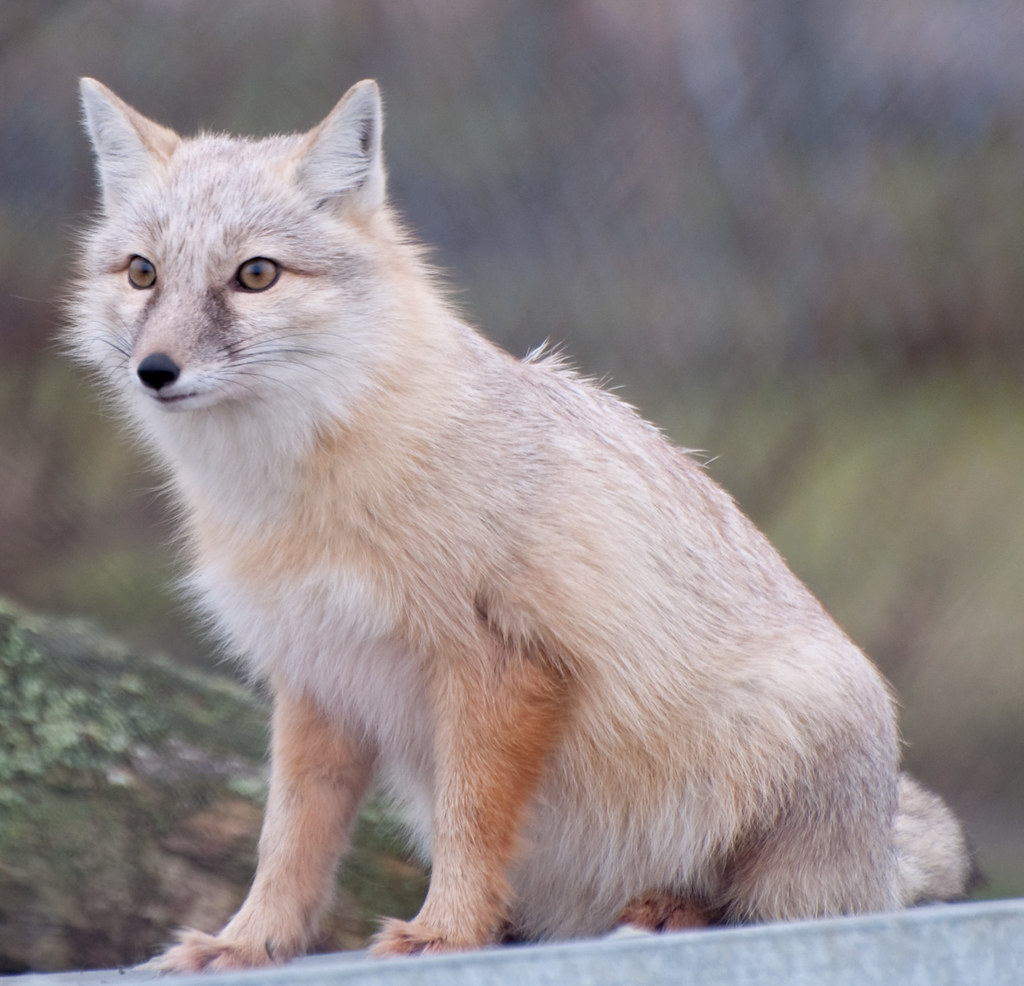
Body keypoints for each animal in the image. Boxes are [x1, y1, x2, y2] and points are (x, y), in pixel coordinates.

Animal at [69, 78, 971, 971]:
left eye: (255, 275)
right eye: (143, 273)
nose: (156, 371)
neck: (298, 496)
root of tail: (880, 850)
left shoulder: (500, 661)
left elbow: (471, 822)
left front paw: (445, 931)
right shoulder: (318, 675)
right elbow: (288, 837)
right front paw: (249, 941)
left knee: (767, 909)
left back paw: (669, 910)